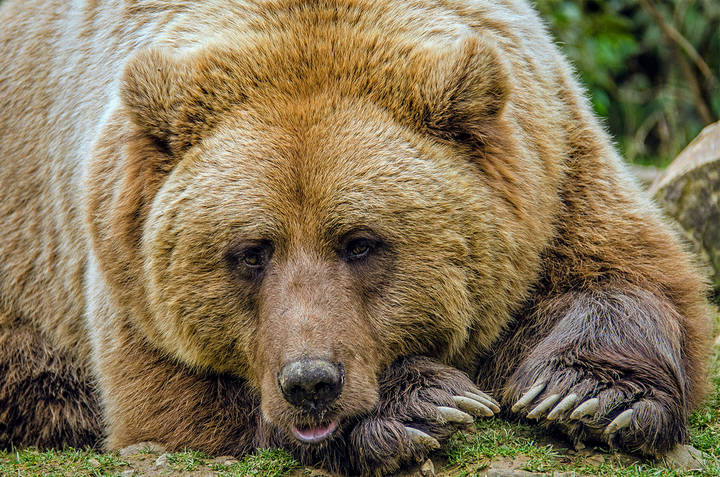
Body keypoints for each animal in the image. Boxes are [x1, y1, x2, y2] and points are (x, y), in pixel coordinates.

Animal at [0, 0, 712, 474]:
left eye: (360, 242)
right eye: (250, 252)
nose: (311, 382)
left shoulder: (551, 167)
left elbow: (625, 272)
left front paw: (588, 395)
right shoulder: (124, 267)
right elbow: (172, 402)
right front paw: (418, 405)